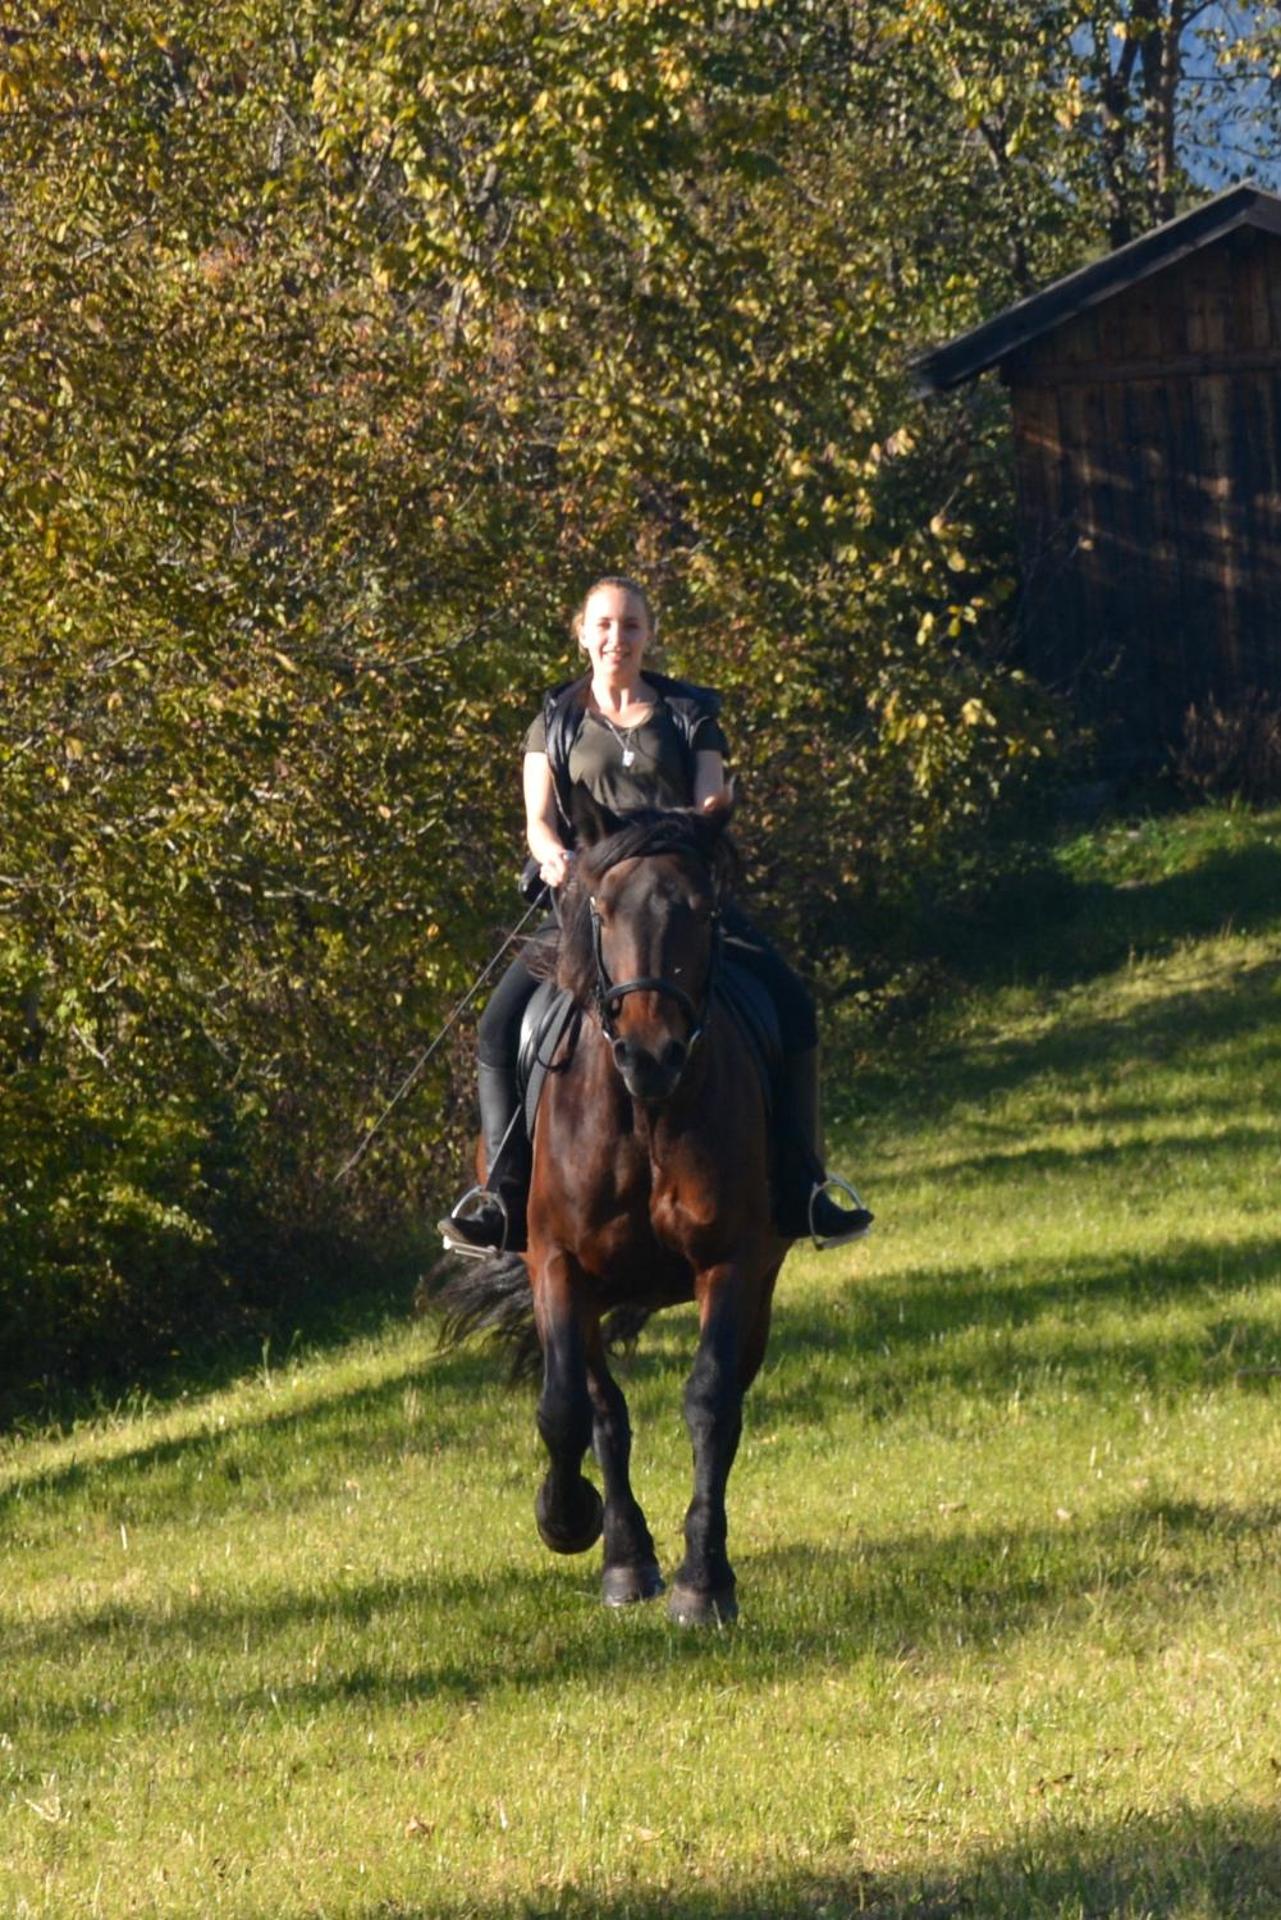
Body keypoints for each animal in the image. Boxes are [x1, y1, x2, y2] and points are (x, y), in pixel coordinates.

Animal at [436, 793, 787, 1625]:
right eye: (600, 907)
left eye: (703, 908)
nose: (649, 1054)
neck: (644, 1113)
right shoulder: (559, 1268)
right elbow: (569, 1409)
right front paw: (568, 1521)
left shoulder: (731, 1262)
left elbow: (709, 1403)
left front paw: (704, 1582)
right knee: (601, 1408)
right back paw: (624, 1560)